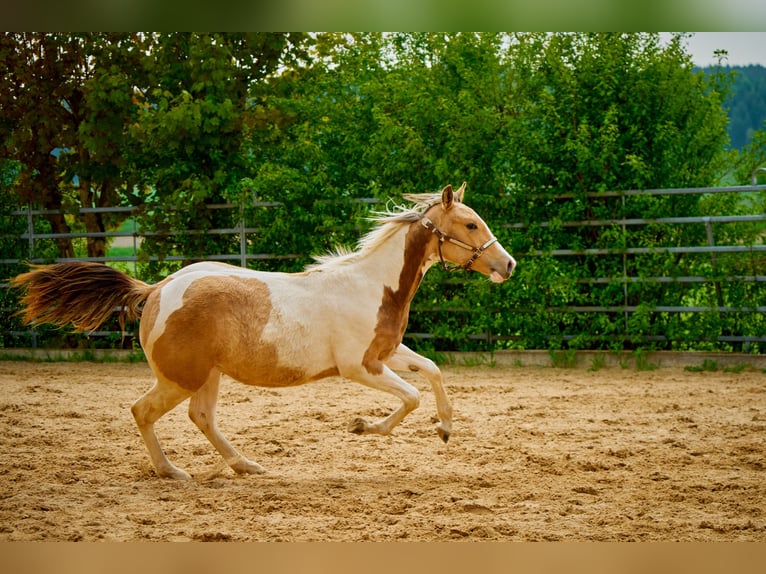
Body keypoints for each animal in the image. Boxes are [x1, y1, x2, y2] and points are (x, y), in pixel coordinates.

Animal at [11, 183, 516, 480]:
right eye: (470, 223)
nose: (507, 264)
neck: (372, 285)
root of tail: (156, 289)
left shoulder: (387, 353)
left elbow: (431, 370)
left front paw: (445, 428)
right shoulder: (360, 367)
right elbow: (410, 397)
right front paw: (362, 426)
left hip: (207, 376)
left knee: (201, 416)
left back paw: (245, 465)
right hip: (180, 377)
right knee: (143, 411)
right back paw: (171, 471)